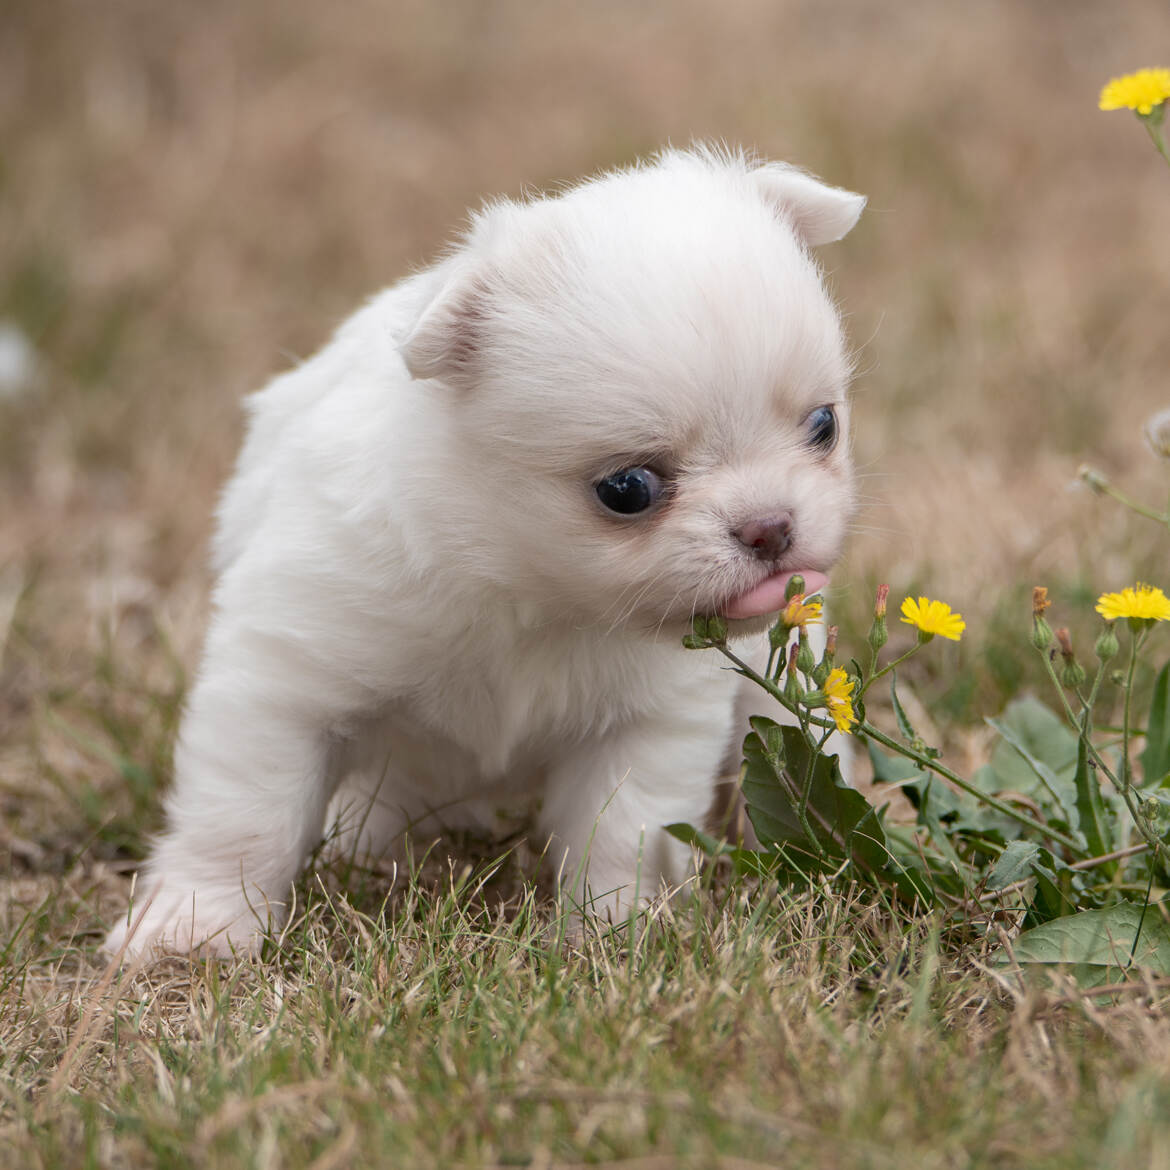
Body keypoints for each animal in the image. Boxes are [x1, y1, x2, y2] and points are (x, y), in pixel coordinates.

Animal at [105, 146, 865, 959]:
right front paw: (196, 927)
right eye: (627, 489)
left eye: (823, 426)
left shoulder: (646, 724)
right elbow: (242, 818)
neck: (521, 581)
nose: (772, 528)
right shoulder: (284, 678)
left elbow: (621, 837)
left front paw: (610, 938)